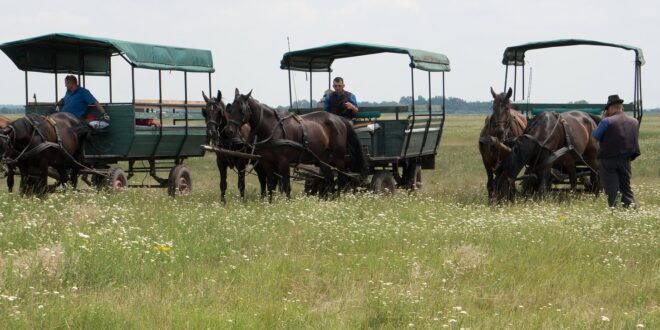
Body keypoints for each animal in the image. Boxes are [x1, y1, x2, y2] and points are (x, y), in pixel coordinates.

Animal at [223, 88, 366, 201]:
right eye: (230, 109)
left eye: (242, 110)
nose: (229, 131)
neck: (272, 128)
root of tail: (339, 119)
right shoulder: (267, 163)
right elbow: (270, 186)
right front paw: (270, 204)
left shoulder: (284, 162)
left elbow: (286, 186)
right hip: (322, 158)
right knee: (330, 177)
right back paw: (328, 199)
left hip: (339, 157)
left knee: (342, 178)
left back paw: (338, 198)